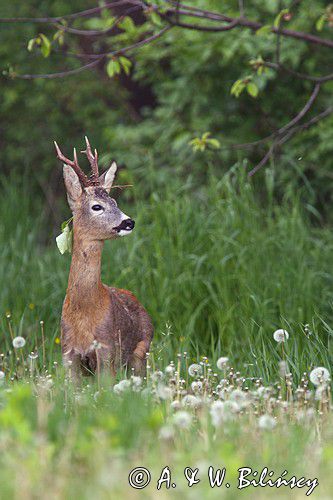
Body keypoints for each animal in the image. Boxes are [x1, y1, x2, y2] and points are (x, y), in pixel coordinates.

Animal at [54, 138, 153, 378]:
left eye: (116, 202)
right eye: (96, 206)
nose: (129, 222)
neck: (84, 311)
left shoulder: (107, 348)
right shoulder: (68, 352)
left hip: (140, 354)